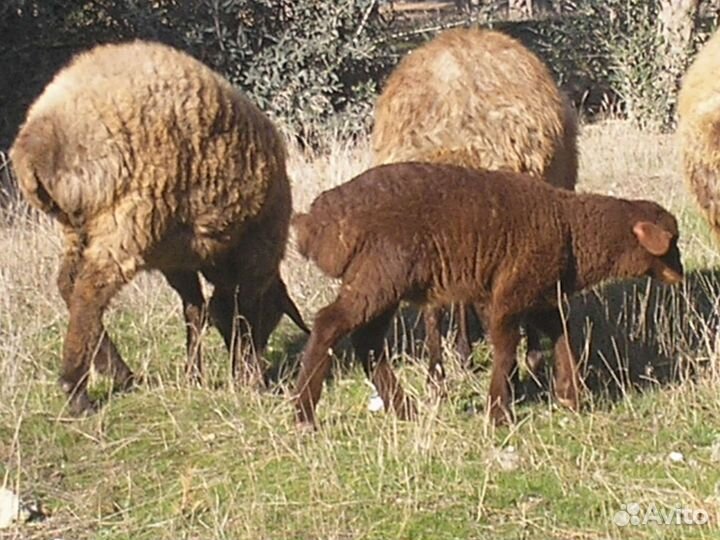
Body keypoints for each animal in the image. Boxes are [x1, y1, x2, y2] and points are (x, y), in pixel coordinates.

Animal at [10, 40, 308, 415]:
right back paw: (77, 389)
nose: (258, 368)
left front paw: (195, 376)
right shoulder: (257, 253)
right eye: (273, 317)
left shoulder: (176, 258)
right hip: (127, 217)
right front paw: (248, 379)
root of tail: (40, 140)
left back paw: (117, 371)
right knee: (90, 291)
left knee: (68, 284)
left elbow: (196, 310)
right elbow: (240, 311)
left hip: (78, 227)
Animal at [292, 162, 683, 426]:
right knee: (329, 324)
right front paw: (499, 412)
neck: (572, 230)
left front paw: (569, 395)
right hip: (379, 275)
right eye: (671, 243)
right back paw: (304, 414)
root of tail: (320, 221)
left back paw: (404, 410)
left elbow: (561, 334)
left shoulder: (540, 296)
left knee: (368, 343)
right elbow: (506, 348)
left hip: (378, 283)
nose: (678, 274)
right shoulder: (511, 294)